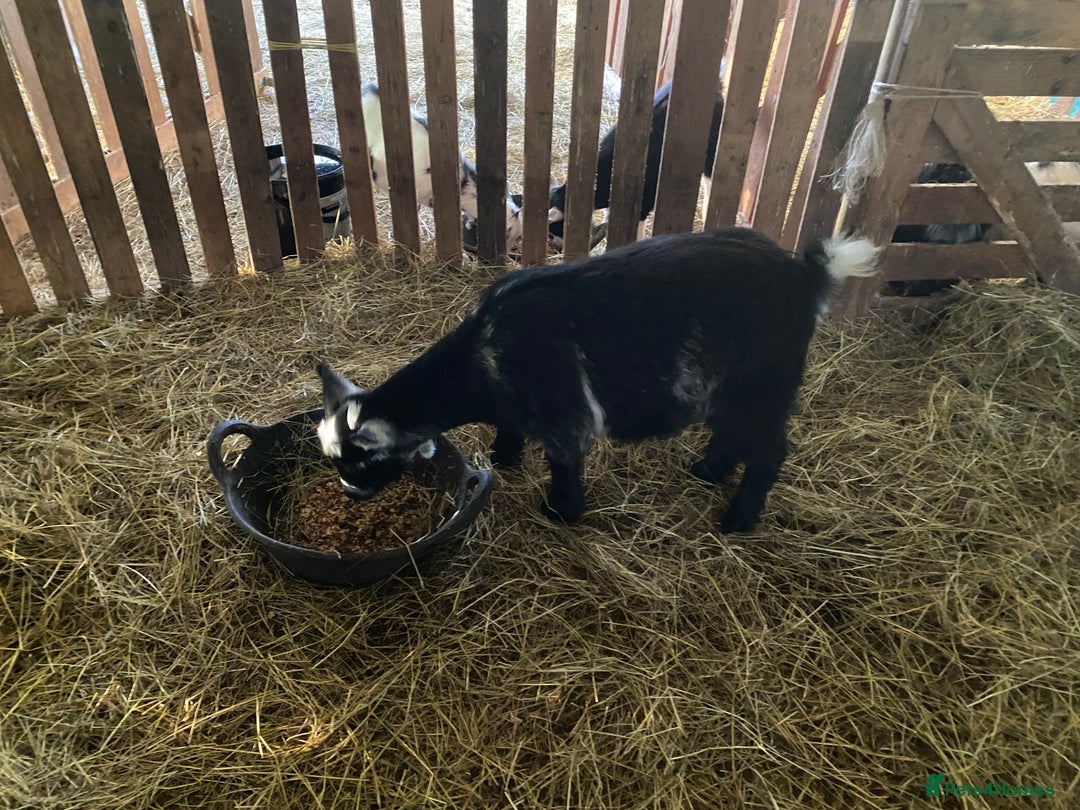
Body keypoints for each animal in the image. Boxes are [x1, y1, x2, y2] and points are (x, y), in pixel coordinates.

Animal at [316, 228, 880, 533]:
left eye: (360, 459)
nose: (349, 494)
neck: (485, 355)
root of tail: (805, 275)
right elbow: (509, 428)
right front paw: (504, 457)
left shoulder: (563, 410)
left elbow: (565, 460)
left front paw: (561, 510)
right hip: (733, 385)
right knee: (732, 433)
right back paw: (707, 471)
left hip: (765, 381)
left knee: (769, 449)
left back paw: (739, 516)